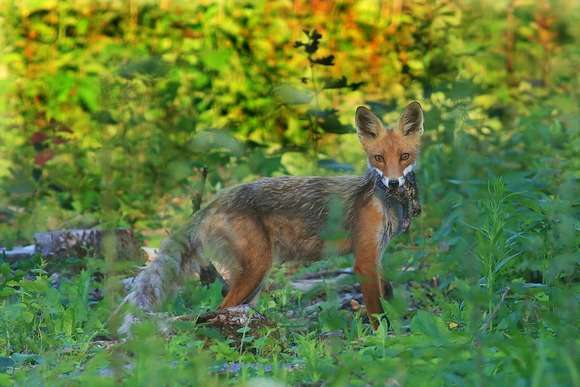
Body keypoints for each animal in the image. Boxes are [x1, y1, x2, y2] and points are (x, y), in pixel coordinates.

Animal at [120, 101, 424, 334]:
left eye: (405, 156)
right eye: (378, 158)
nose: (394, 183)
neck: (384, 204)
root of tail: (212, 202)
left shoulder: (376, 256)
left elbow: (387, 293)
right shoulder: (363, 261)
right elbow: (376, 311)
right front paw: (382, 340)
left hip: (253, 279)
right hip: (257, 268)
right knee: (217, 311)